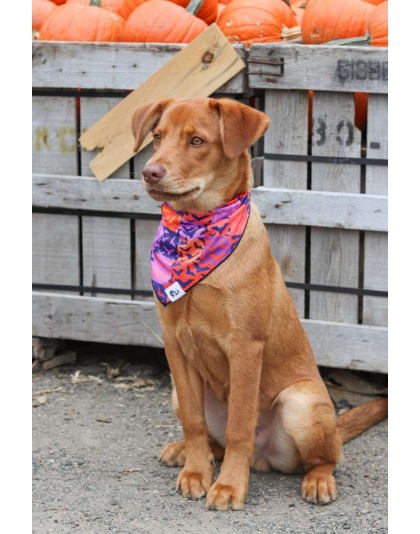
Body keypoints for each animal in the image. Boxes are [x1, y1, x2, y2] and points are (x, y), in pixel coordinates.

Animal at [130, 98, 388, 512]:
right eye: (156, 137)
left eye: (197, 141)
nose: (150, 172)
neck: (196, 231)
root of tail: (265, 458)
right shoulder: (175, 346)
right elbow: (194, 421)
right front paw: (196, 472)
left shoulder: (246, 348)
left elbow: (239, 427)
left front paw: (229, 486)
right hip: (177, 390)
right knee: (212, 437)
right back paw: (186, 452)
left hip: (301, 405)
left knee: (326, 457)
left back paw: (318, 480)